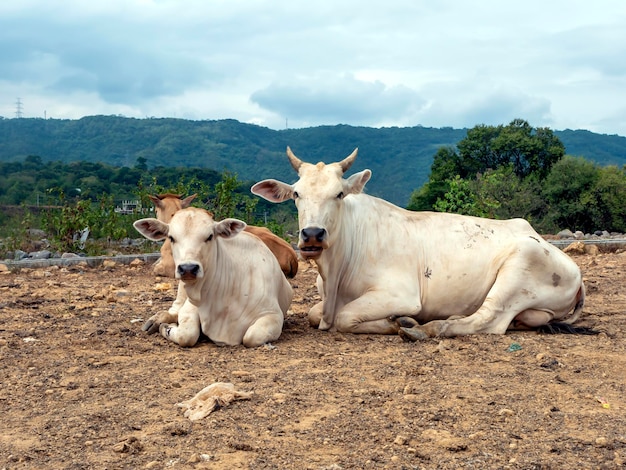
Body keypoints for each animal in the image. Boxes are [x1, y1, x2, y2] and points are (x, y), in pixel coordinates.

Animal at [132, 207, 292, 346]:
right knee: (174, 310)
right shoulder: (191, 305)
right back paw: (156, 321)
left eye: (209, 236)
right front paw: (167, 328)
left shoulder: (273, 314)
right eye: (171, 237)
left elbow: (251, 337)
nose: (188, 268)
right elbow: (187, 334)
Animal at [249, 147, 584, 338]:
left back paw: (426, 328)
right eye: (296, 193)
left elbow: (345, 317)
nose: (312, 235)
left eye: (339, 194)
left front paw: (396, 323)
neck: (335, 273)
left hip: (520, 267)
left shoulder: (401, 294)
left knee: (488, 320)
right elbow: (314, 313)